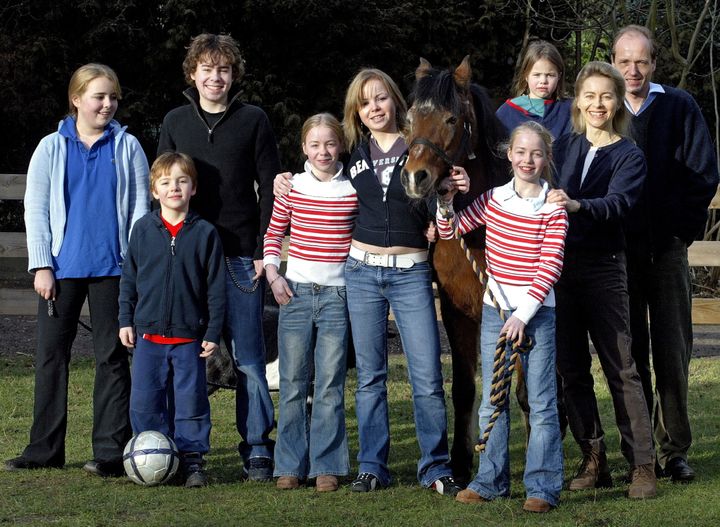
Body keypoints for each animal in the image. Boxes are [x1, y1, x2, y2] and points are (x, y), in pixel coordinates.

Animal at [400, 56, 512, 482]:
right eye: (410, 118)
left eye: (451, 119)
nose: (415, 177)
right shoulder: (456, 310)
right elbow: (464, 387)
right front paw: (461, 463)